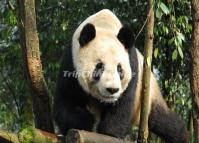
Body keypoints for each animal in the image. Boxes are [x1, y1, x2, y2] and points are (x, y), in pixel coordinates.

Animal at [53, 9, 189, 143]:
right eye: (99, 66)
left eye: (120, 69)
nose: (112, 90)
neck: (103, 26)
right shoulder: (71, 61)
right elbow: (67, 99)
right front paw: (85, 121)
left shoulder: (132, 64)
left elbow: (124, 103)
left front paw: (110, 132)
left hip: (148, 97)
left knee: (161, 119)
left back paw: (181, 135)